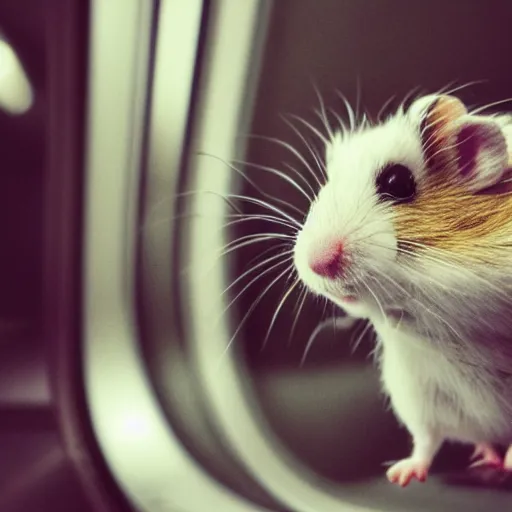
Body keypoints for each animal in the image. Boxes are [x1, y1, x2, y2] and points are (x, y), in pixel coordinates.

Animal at [292, 93, 512, 488]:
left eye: (397, 182)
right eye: (328, 182)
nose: (316, 263)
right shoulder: (420, 400)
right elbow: (424, 442)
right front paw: (400, 477)